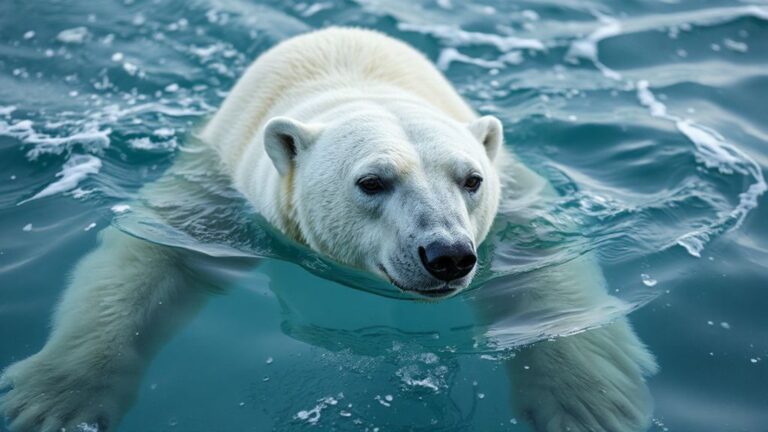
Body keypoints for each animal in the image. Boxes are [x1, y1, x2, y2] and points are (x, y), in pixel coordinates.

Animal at [0, 27, 656, 431]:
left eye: (471, 179)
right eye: (372, 181)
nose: (447, 254)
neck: (355, 86)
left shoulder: (513, 206)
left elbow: (552, 281)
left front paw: (590, 407)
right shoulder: (220, 203)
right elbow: (145, 264)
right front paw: (54, 401)